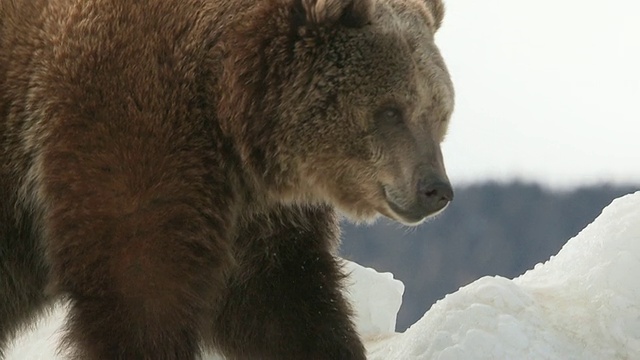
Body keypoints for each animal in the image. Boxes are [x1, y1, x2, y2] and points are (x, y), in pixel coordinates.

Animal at [0, 0, 452, 358]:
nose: (435, 189)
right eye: (391, 110)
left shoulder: (256, 217)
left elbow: (283, 304)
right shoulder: (132, 138)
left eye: (439, 112)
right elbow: (141, 293)